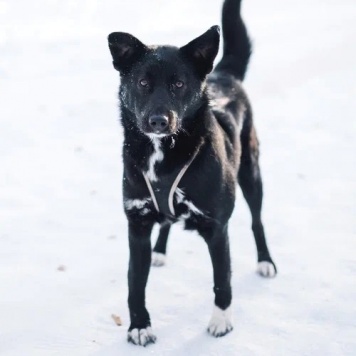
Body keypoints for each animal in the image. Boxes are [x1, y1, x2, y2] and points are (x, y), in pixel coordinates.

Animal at [107, 0, 276, 346]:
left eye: (178, 84)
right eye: (142, 83)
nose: (159, 120)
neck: (164, 153)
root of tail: (221, 72)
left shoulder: (217, 228)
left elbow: (222, 280)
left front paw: (221, 322)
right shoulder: (137, 225)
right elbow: (135, 283)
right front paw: (139, 326)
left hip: (251, 173)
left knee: (257, 220)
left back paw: (265, 260)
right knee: (165, 224)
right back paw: (160, 251)